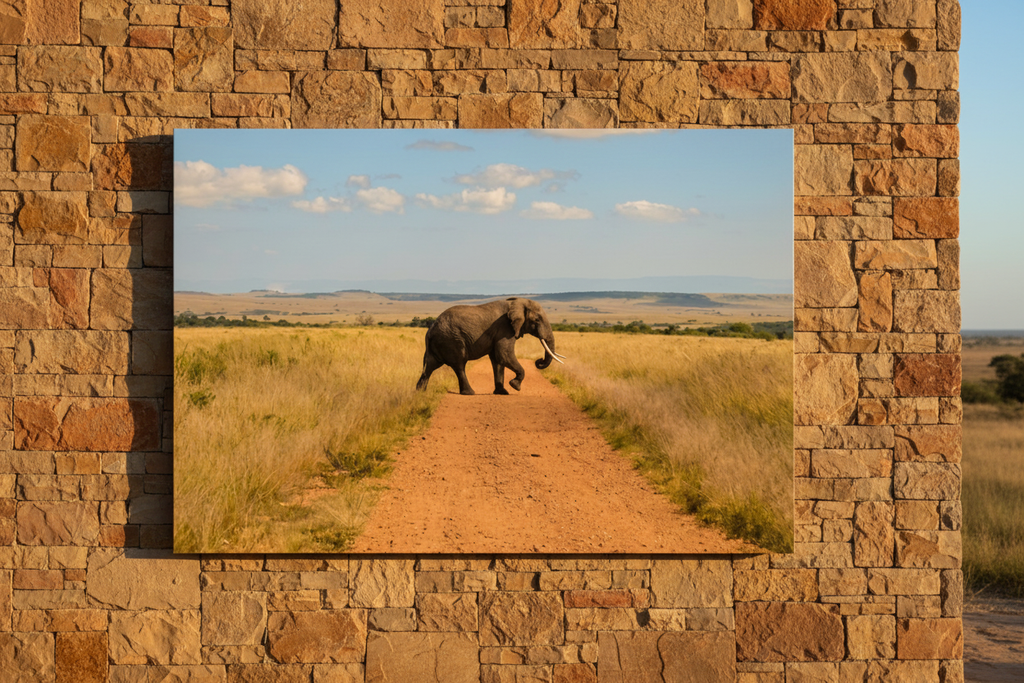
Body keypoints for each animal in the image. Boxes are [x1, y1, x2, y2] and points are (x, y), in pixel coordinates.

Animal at [415, 297, 564, 395]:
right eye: (537, 320)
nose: (539, 361)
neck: (517, 301)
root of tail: (431, 328)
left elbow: (497, 359)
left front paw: (502, 392)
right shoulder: (504, 329)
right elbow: (503, 354)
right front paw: (515, 386)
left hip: (439, 343)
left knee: (429, 367)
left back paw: (420, 393)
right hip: (452, 340)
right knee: (459, 365)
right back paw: (470, 393)